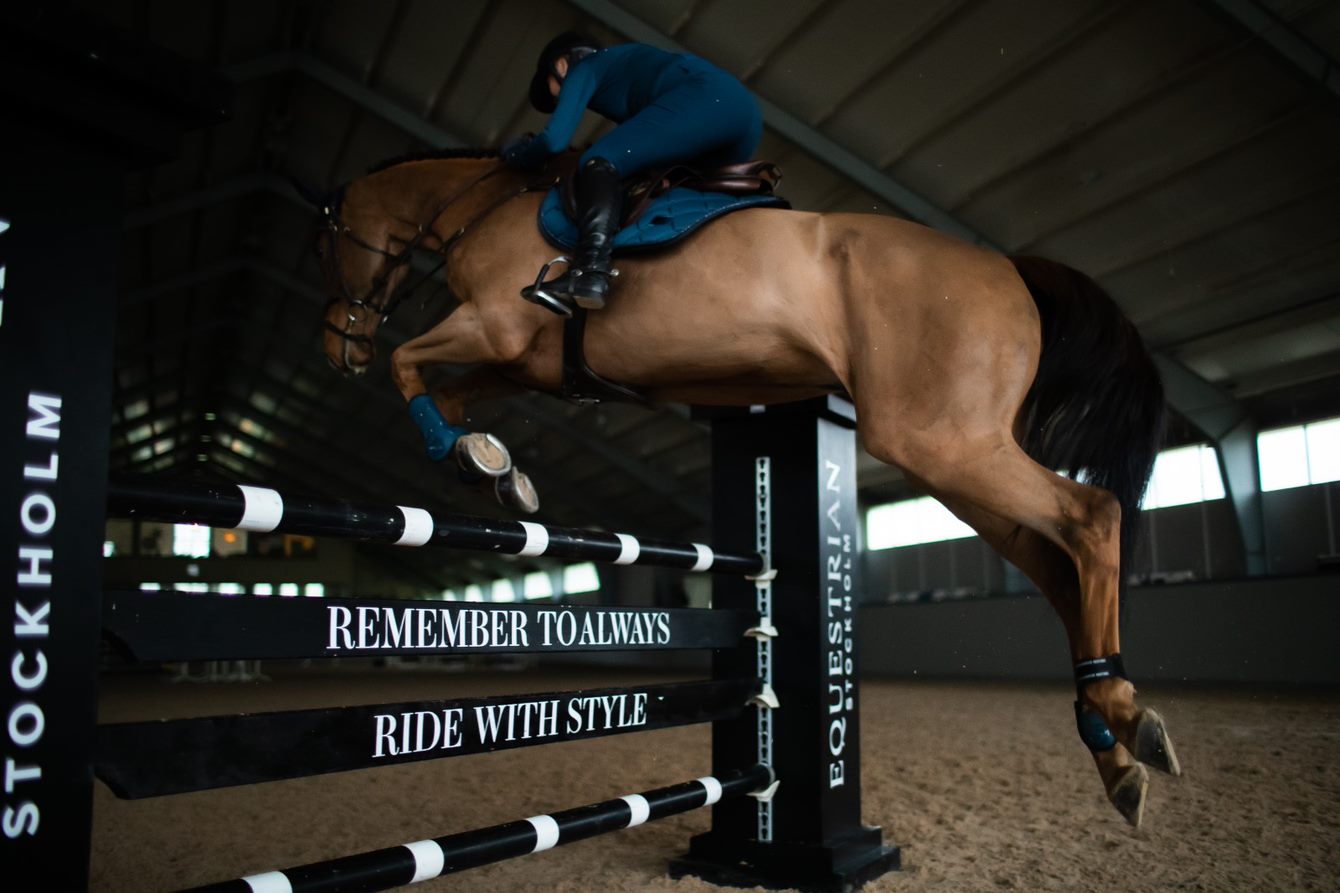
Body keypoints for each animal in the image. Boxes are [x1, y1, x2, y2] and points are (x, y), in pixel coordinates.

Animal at [308, 147, 1179, 825]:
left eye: (331, 241)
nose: (339, 348)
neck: (480, 207)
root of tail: (1009, 266)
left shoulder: (493, 324)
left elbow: (410, 363)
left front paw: (466, 455)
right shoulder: (524, 358)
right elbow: (453, 395)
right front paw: (492, 467)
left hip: (942, 440)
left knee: (1091, 515)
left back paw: (1121, 718)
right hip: (955, 456)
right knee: (1054, 562)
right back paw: (1114, 743)